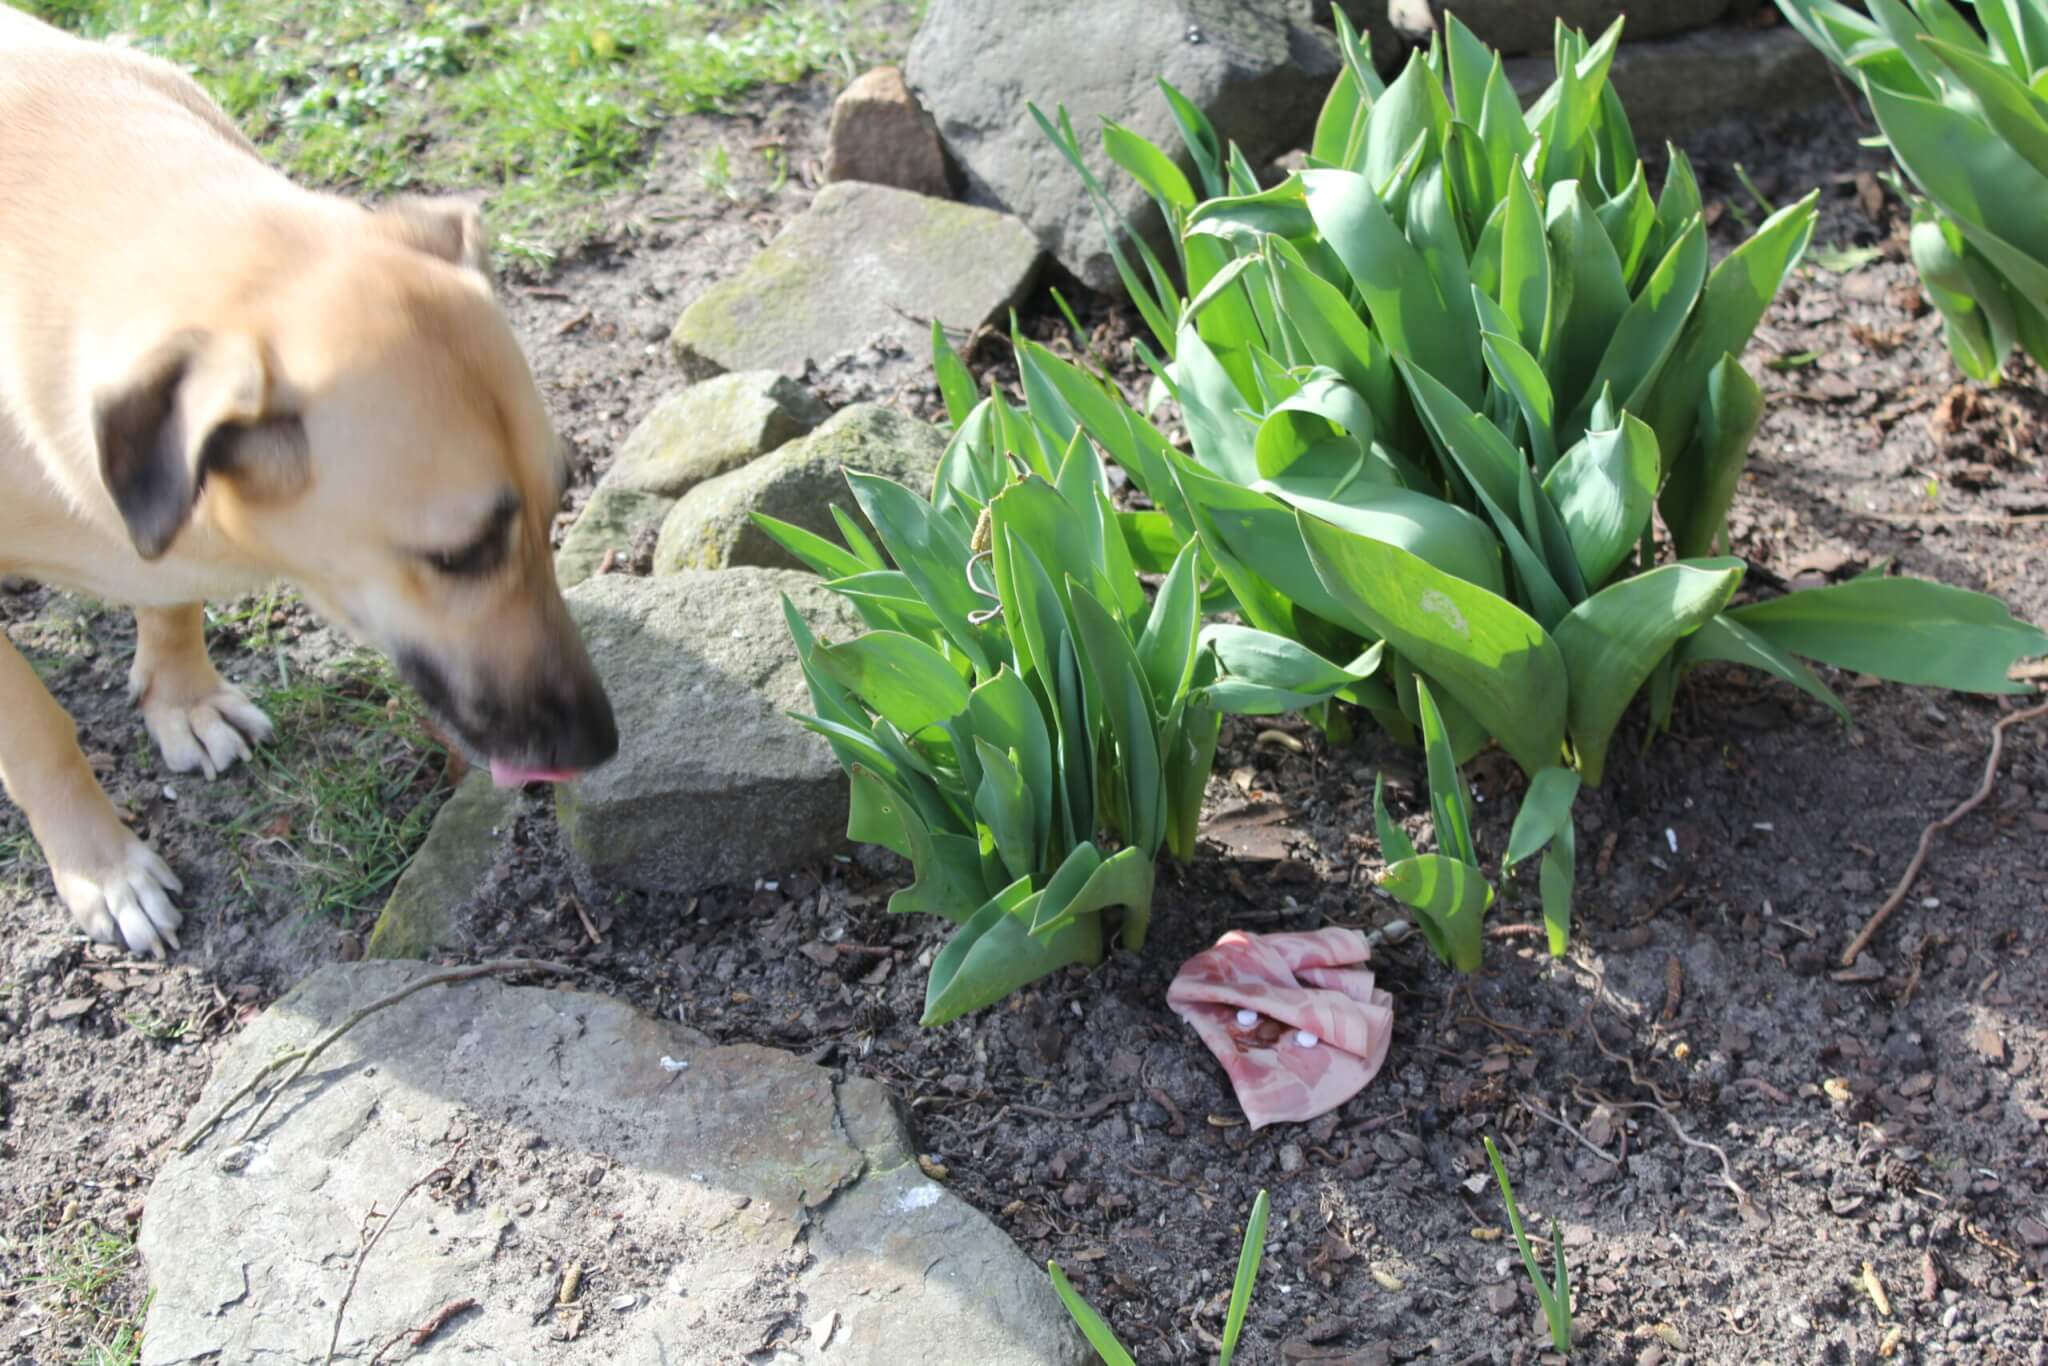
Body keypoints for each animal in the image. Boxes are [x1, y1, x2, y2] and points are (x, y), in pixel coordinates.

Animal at [4, 7, 618, 962]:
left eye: (560, 505)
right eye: (460, 553)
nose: (599, 744)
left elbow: (170, 600)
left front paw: (185, 698)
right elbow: (36, 730)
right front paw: (102, 867)